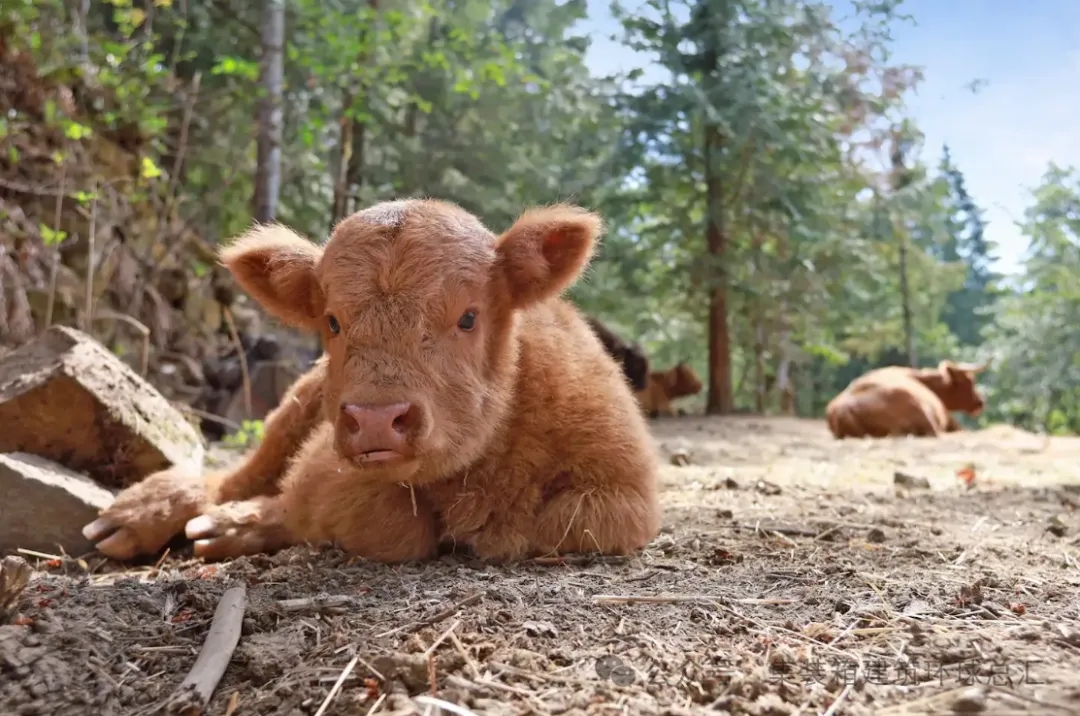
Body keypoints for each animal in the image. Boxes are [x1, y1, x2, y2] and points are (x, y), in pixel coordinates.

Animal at [82, 199, 656, 565]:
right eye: (333, 322)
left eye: (468, 317)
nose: (377, 419)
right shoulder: (328, 464)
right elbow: (389, 524)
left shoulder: (628, 500)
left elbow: (562, 524)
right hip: (295, 407)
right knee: (238, 475)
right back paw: (145, 514)